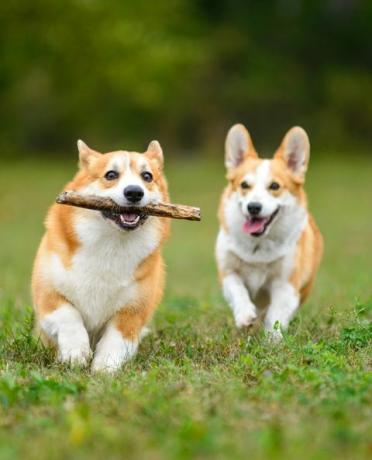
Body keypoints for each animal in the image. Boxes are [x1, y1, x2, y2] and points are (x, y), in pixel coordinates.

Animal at [32, 138, 170, 372]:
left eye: (147, 176)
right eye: (111, 175)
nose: (135, 192)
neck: (112, 242)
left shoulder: (132, 312)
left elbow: (116, 339)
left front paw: (104, 368)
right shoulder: (48, 296)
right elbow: (69, 316)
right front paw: (75, 353)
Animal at [215, 124, 322, 340]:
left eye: (274, 186)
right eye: (244, 185)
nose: (253, 207)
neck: (258, 246)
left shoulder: (286, 284)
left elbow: (276, 314)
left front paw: (273, 340)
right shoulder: (228, 272)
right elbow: (238, 290)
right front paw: (245, 316)